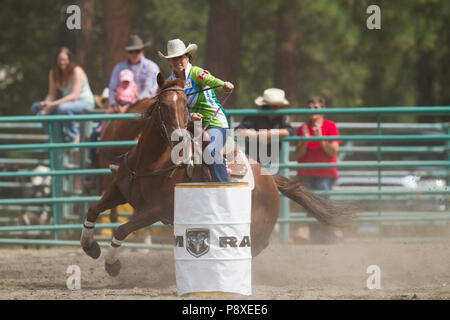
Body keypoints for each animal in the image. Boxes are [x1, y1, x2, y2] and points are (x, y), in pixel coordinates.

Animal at [81, 74, 354, 276]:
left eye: (185, 105)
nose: (178, 137)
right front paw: (90, 246)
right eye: (162, 105)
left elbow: (121, 230)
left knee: (253, 246)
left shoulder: (155, 210)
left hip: (254, 227)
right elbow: (93, 210)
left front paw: (112, 264)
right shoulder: (119, 191)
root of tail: (271, 180)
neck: (151, 164)